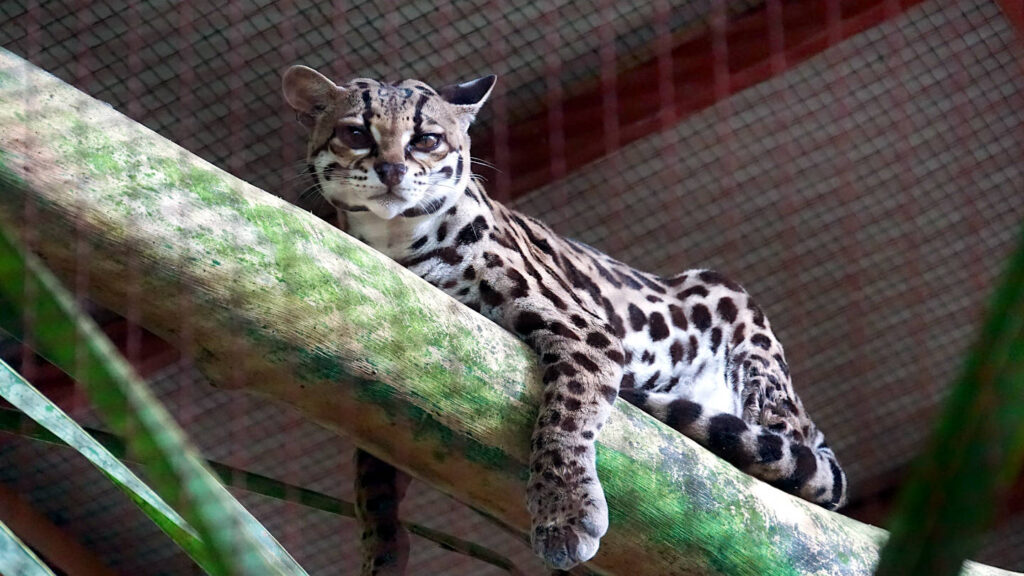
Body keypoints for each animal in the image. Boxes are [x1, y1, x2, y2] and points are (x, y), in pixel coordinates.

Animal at [282, 66, 847, 569]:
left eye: (427, 140)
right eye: (356, 133)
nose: (393, 170)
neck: (394, 238)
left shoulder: (583, 328)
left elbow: (566, 414)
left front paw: (565, 515)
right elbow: (371, 468)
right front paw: (381, 551)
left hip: (737, 315)